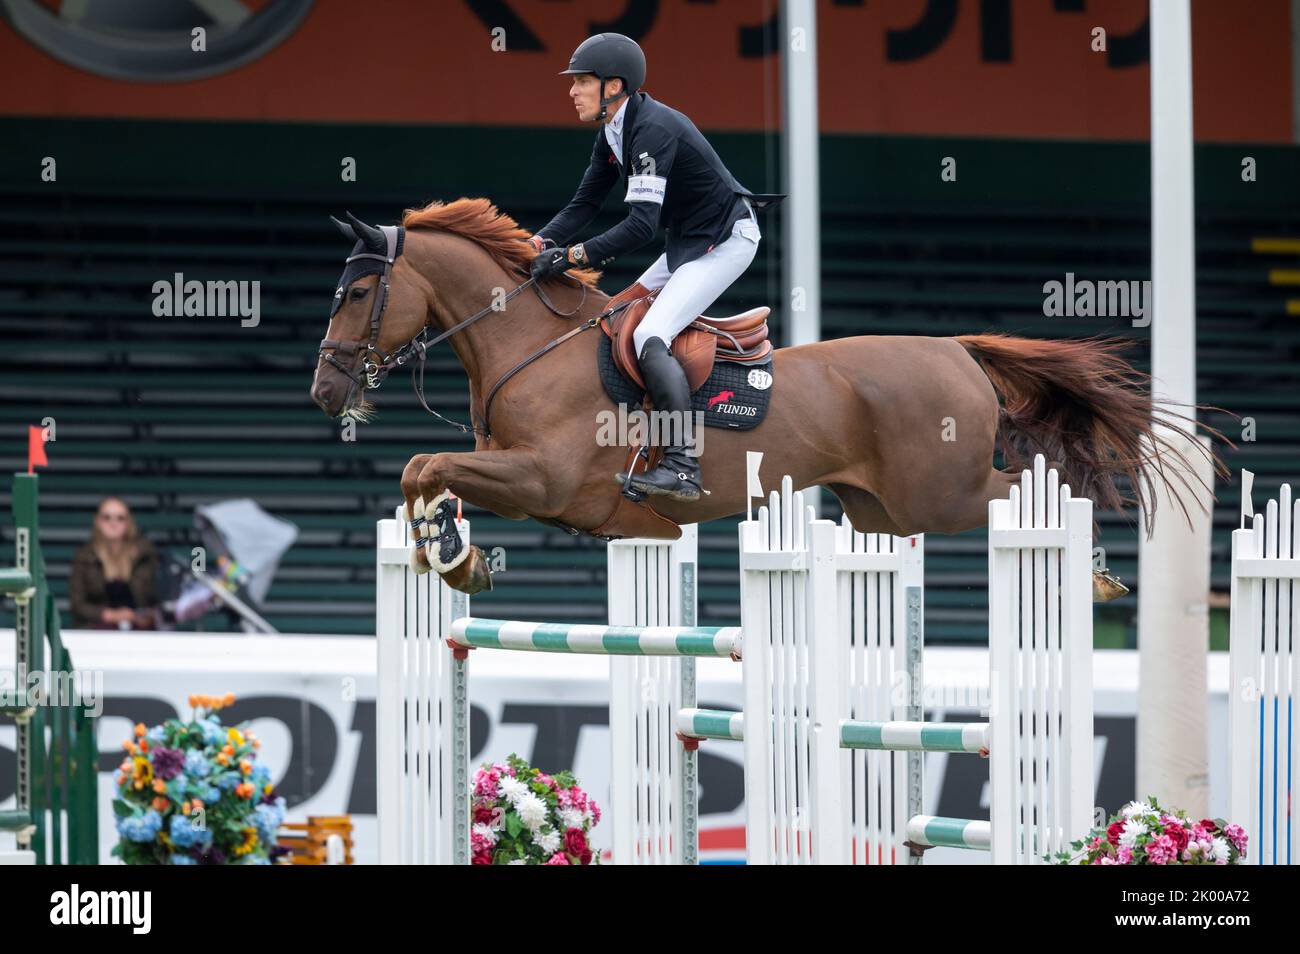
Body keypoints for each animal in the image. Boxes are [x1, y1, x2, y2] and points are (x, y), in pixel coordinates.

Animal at [309, 197, 1211, 595]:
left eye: (357, 293)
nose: (324, 388)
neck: (533, 345)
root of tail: (955, 349)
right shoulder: (527, 480)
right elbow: (423, 472)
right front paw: (450, 551)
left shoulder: (545, 479)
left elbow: (427, 465)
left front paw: (452, 555)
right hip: (885, 510)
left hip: (942, 492)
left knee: (1034, 488)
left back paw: (1094, 573)